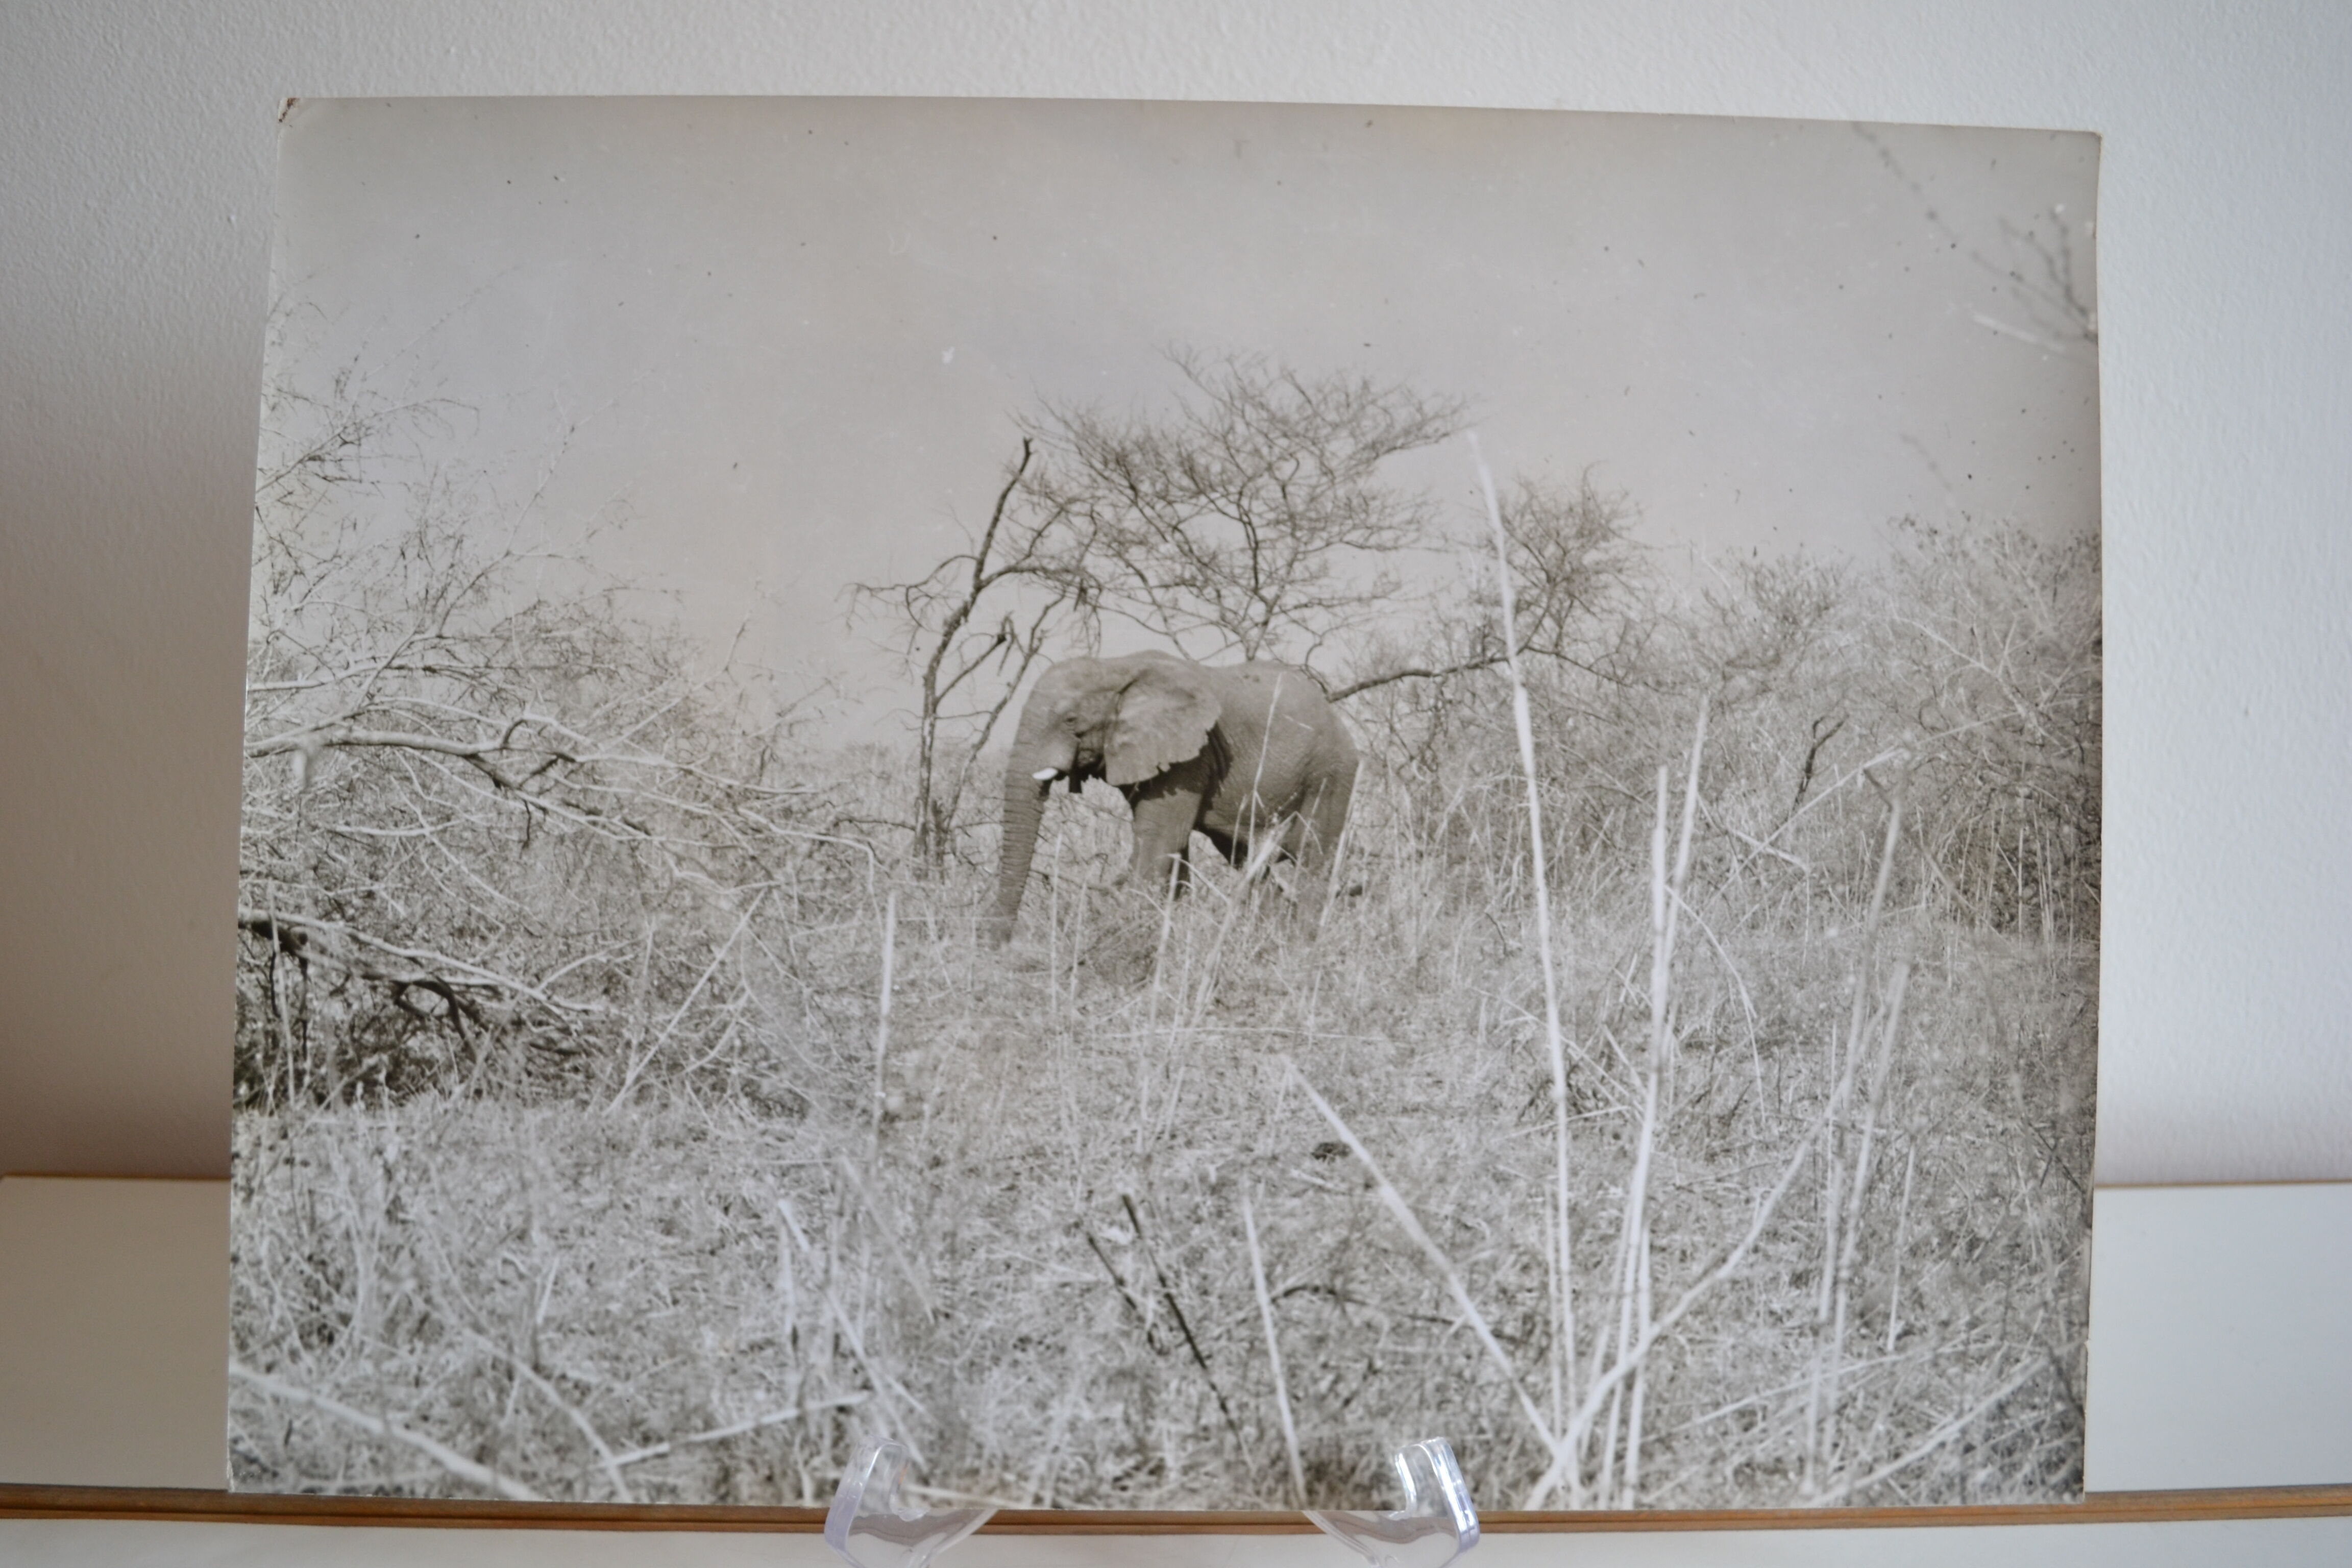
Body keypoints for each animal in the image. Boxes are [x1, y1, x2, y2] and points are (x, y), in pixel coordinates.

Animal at [987, 651, 1359, 945]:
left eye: (1070, 720)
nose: (1000, 946)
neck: (1116, 667)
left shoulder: (1191, 758)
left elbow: (1160, 839)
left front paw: (1127, 936)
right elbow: (1173, 847)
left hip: (1331, 776)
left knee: (1314, 860)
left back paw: (1303, 943)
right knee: (1248, 860)